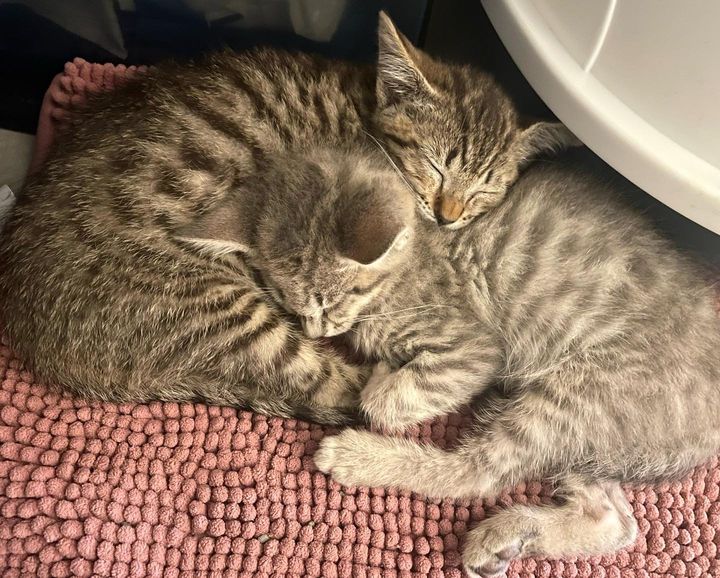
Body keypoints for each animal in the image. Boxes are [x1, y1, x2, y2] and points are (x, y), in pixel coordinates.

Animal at [0, 11, 568, 420]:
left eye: (486, 189)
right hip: (222, 313)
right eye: (435, 165)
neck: (363, 107)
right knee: (333, 388)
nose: (449, 216)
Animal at [242, 147, 720, 572]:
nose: (314, 331)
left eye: (329, 300)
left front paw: (379, 380)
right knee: (616, 519)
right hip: (601, 431)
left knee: (477, 472)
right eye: (287, 299)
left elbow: (384, 401)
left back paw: (360, 457)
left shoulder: (473, 349)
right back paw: (511, 537)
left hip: (576, 393)